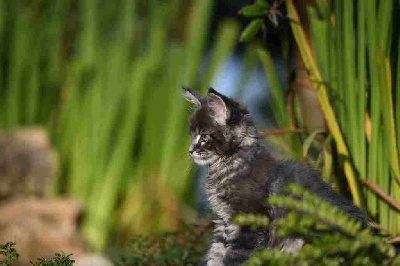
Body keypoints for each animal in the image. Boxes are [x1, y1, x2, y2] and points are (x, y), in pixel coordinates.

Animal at [183, 86, 368, 264]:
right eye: (192, 136)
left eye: (204, 136)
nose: (190, 151)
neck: (229, 165)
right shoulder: (223, 222)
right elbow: (215, 256)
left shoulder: (249, 223)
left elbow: (234, 258)